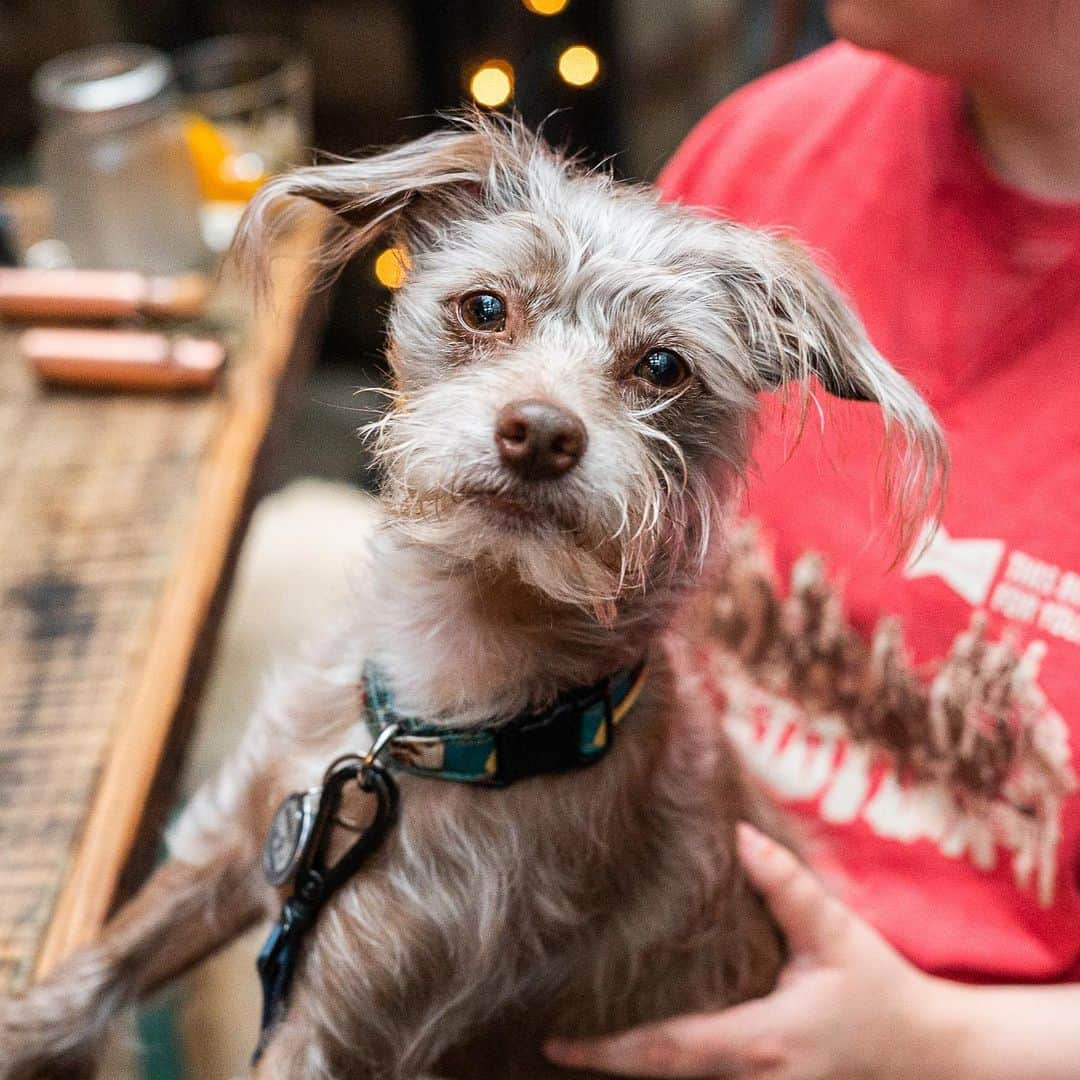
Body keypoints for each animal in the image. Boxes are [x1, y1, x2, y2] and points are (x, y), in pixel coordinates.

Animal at [0, 113, 941, 1075]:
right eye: (485, 308)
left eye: (664, 366)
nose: (542, 431)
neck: (437, 714)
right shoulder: (238, 843)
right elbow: (88, 980)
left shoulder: (342, 1014)